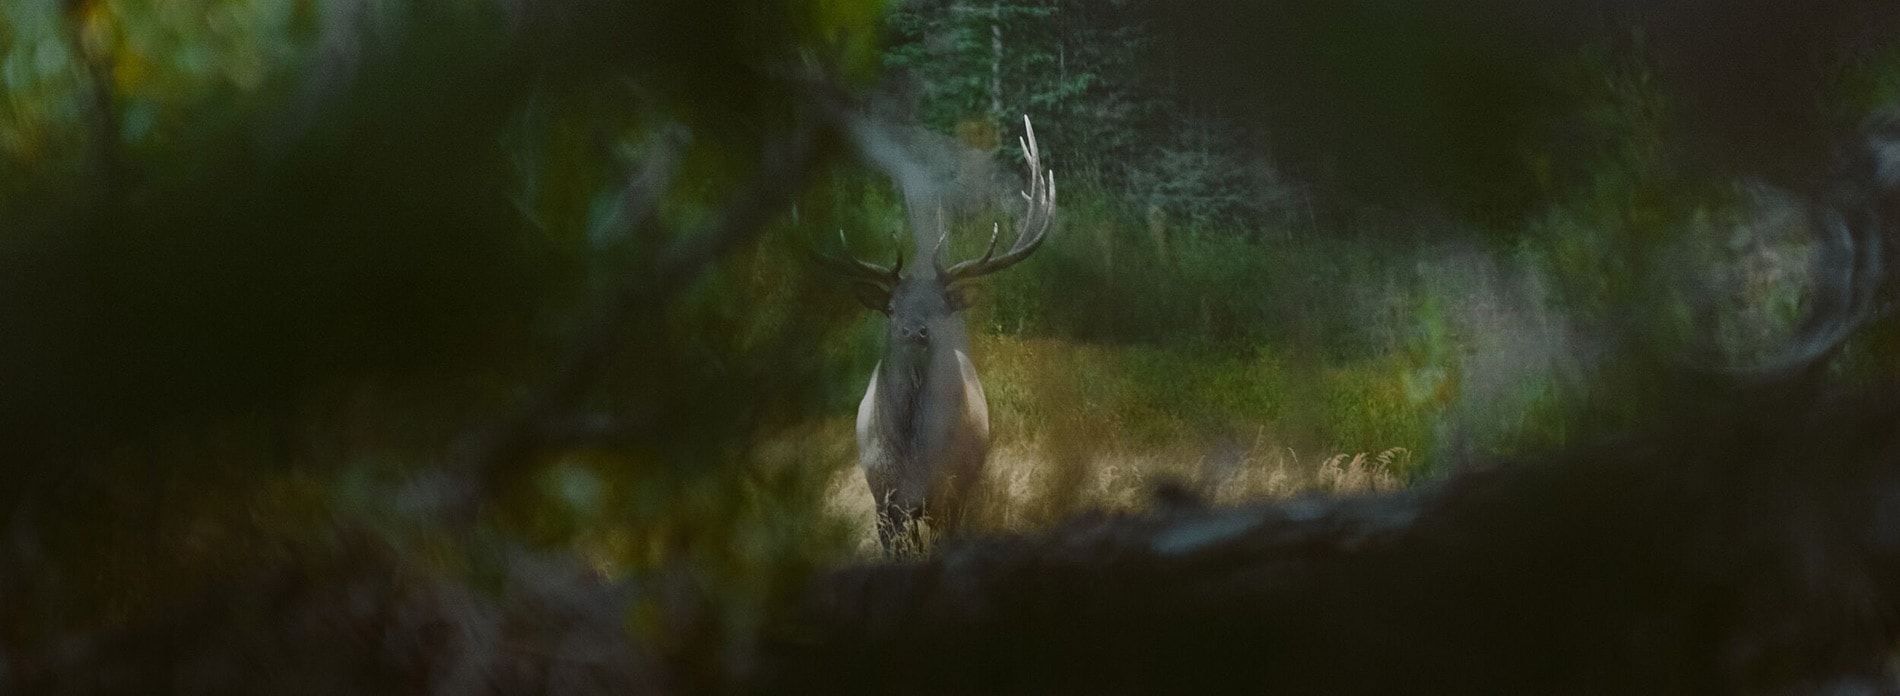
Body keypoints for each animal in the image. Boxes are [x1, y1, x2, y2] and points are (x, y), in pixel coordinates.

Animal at [819, 115, 1056, 553]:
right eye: (891, 309)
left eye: (940, 307)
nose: (914, 331)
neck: (914, 458)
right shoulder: (884, 500)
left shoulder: (953, 494)